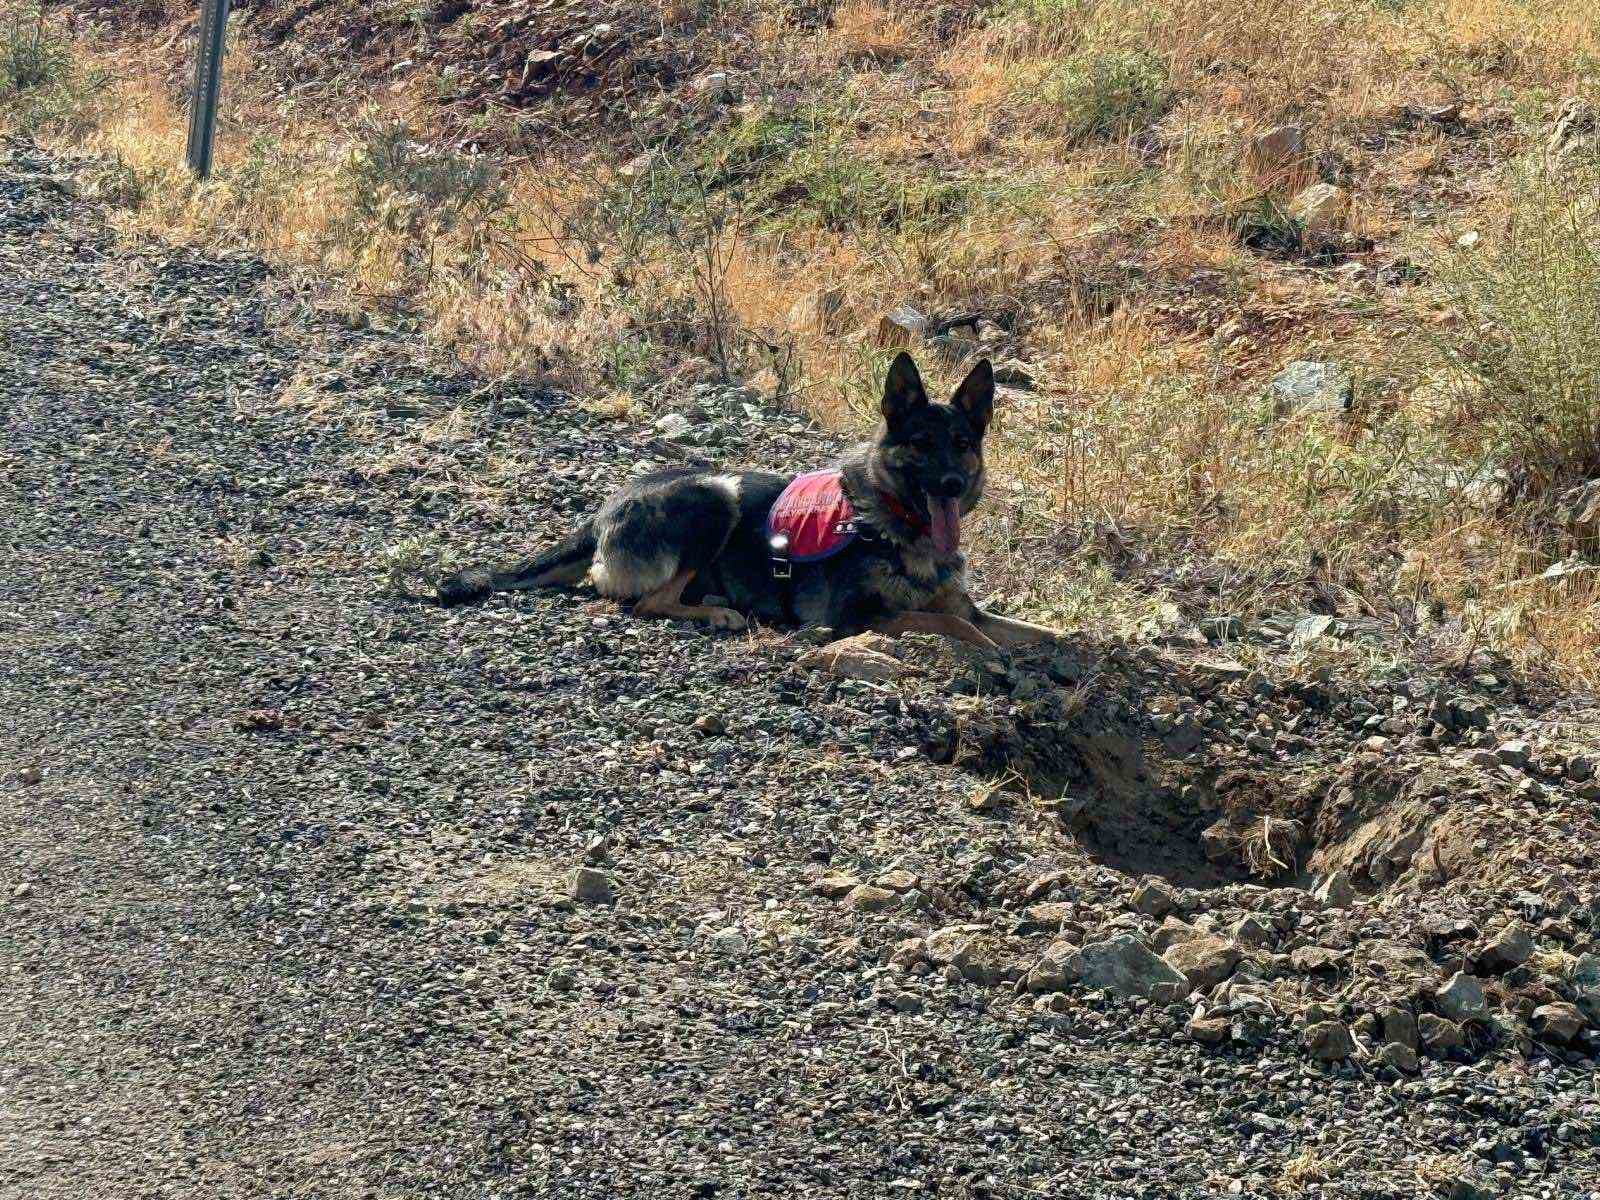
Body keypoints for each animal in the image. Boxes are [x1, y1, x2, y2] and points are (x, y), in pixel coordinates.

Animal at [438, 352, 1062, 652]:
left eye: (961, 443)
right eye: (921, 444)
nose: (953, 484)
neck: (896, 524)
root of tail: (603, 511)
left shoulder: (965, 605)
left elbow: (1035, 630)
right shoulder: (858, 616)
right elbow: (954, 625)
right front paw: (994, 652)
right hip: (715, 498)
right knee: (645, 603)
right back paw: (719, 612)